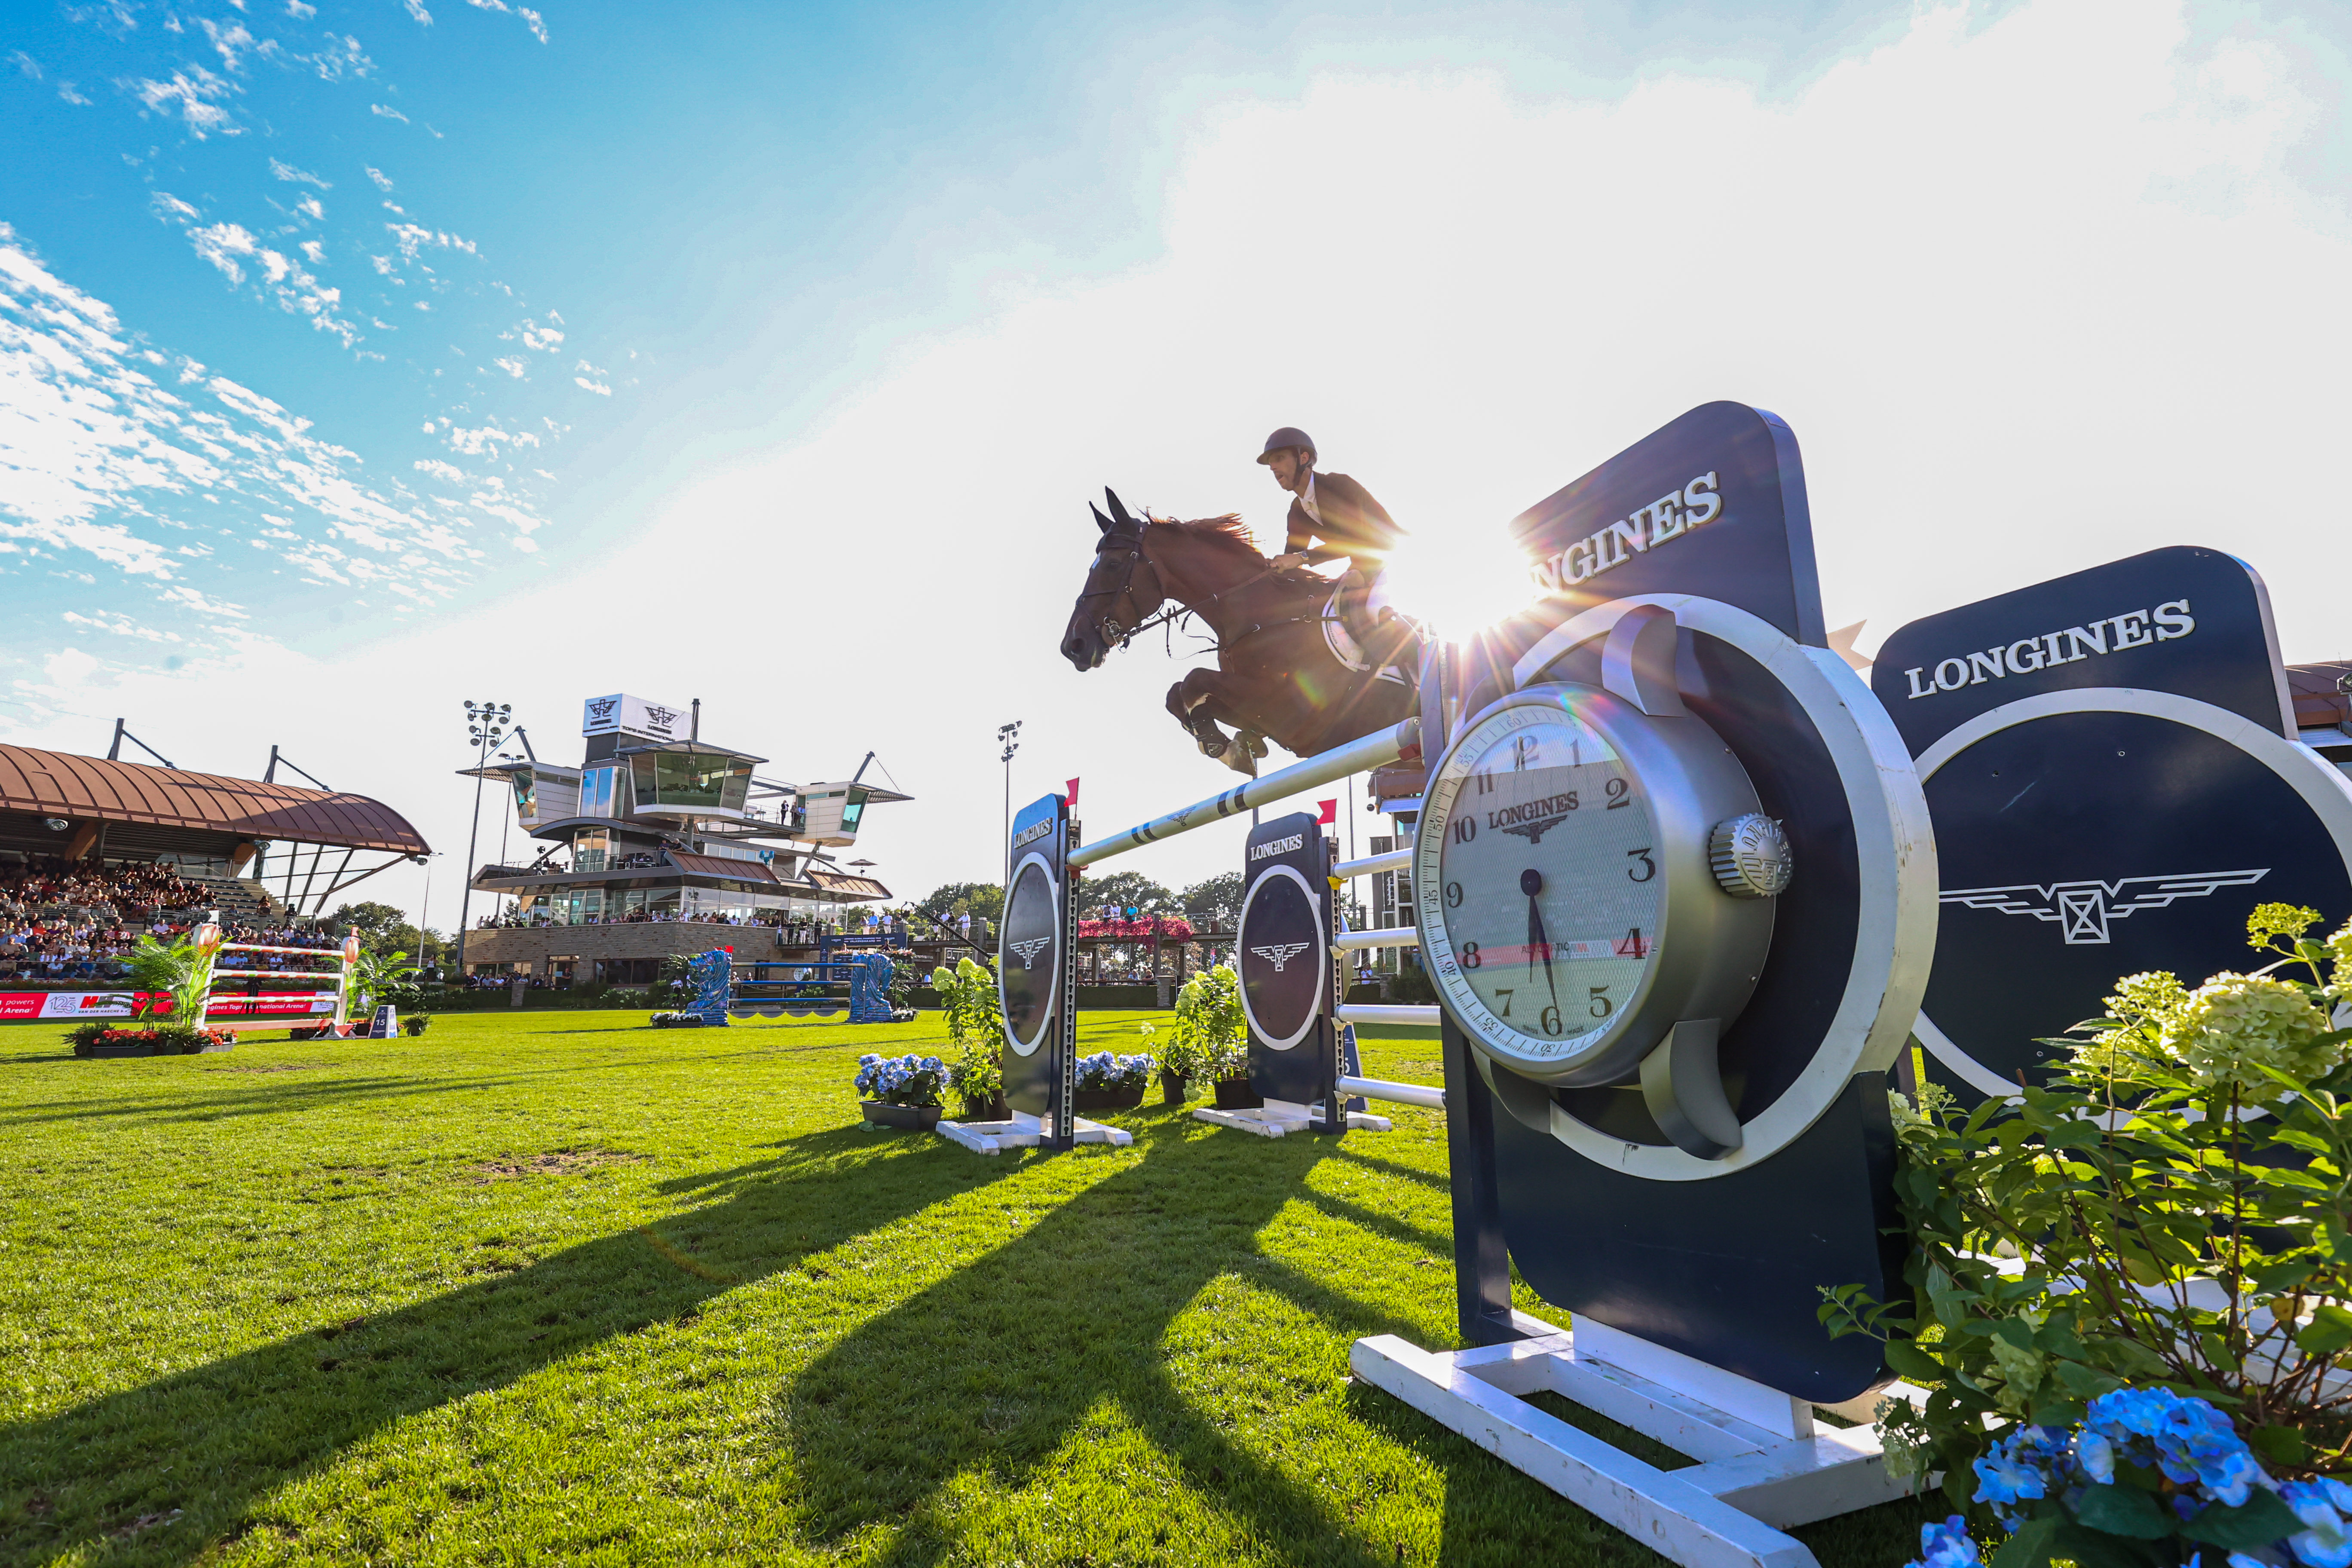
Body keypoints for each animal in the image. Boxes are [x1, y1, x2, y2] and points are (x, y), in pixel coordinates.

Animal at [1063, 487, 1411, 775]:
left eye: (1113, 564)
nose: (1073, 646)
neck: (1260, 615)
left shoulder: (1297, 715)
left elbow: (1193, 680)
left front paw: (1225, 748)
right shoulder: (1253, 703)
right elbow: (1178, 694)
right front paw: (1234, 744)